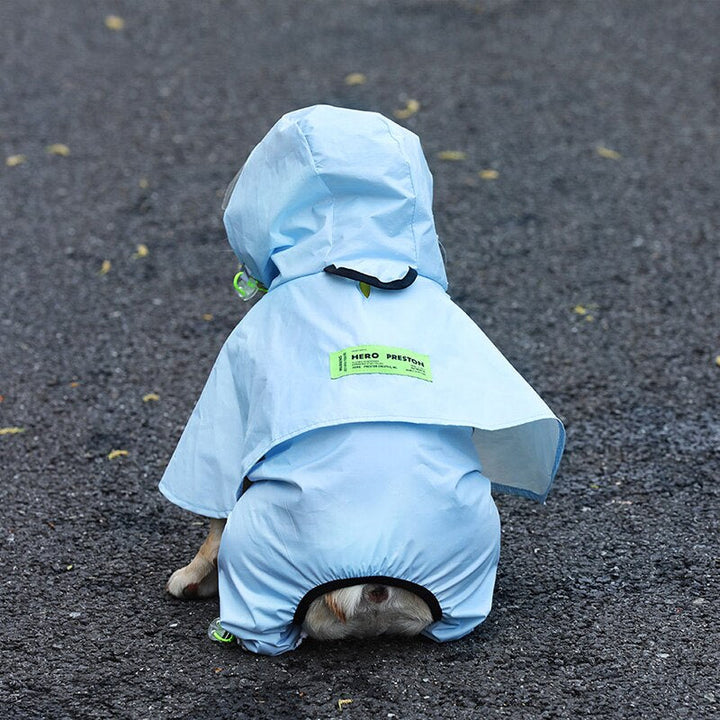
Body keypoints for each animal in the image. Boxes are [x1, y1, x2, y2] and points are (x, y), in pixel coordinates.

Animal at [160, 105, 564, 652]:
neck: (364, 265)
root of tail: (371, 585)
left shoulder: (229, 386)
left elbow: (212, 517)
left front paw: (189, 578)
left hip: (263, 558)